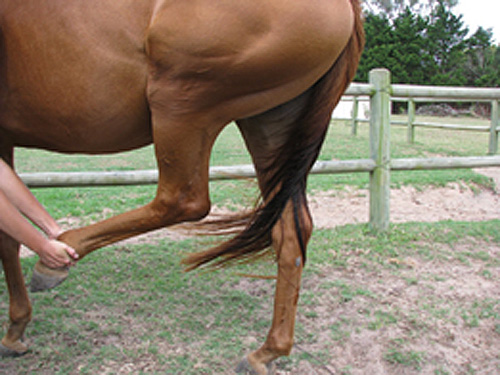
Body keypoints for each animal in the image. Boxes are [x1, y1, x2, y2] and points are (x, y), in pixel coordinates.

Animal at [0, 0, 364, 374]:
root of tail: (347, 5)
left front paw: (15, 328)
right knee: (291, 231)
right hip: (270, 125)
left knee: (183, 201)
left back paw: (58, 255)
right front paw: (16, 329)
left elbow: (6, 235)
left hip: (181, 103)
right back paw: (267, 351)